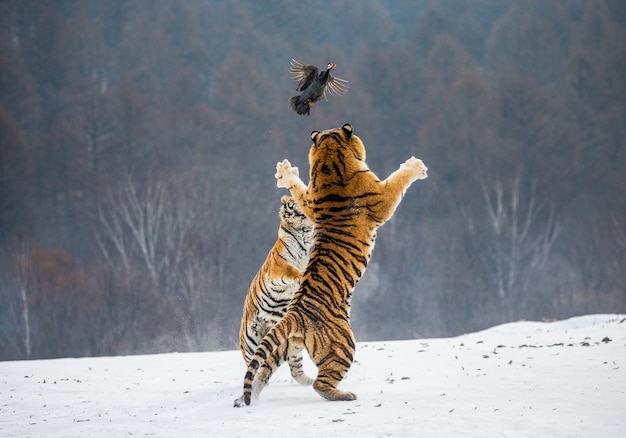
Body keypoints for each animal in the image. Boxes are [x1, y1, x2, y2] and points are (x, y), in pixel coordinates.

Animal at [240, 195, 316, 384]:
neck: (304, 232)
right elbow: (293, 271)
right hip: (249, 342)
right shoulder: (280, 265)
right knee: (254, 363)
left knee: (296, 370)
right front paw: (302, 275)